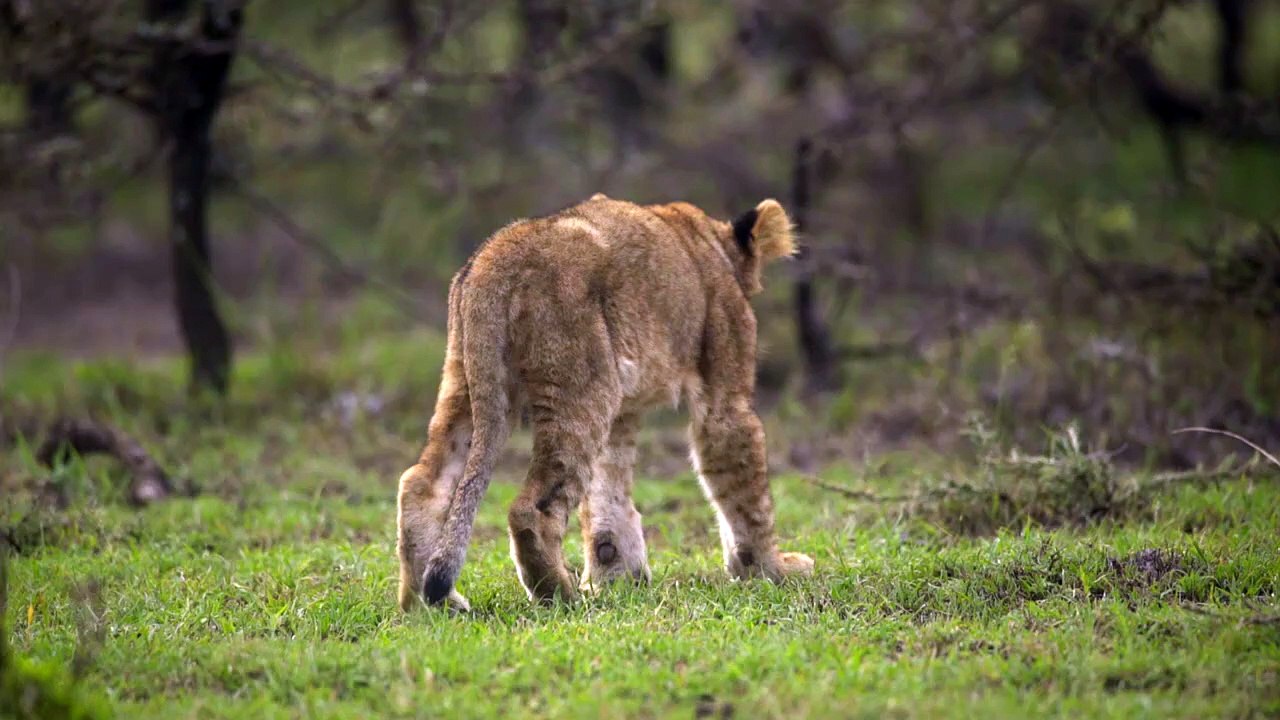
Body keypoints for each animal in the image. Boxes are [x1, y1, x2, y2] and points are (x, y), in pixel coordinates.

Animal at [396, 193, 815, 610]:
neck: (714, 244)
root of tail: (494, 262)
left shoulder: (622, 413)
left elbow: (607, 493)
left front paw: (616, 576)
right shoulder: (723, 393)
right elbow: (744, 487)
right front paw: (772, 569)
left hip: (468, 381)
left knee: (421, 484)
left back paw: (430, 605)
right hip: (578, 389)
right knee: (530, 508)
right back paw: (558, 595)